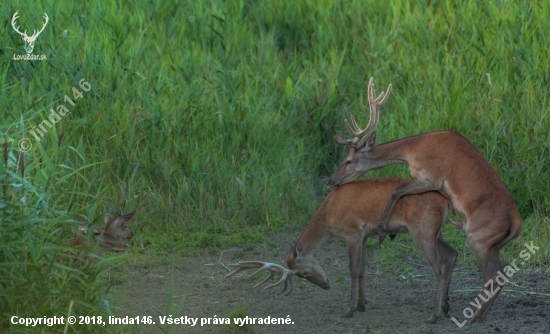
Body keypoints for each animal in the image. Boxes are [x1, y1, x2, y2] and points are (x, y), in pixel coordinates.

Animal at [226, 179, 460, 322]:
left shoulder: (352, 233)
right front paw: (362, 304)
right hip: (435, 232)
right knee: (452, 254)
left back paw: (434, 315)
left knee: (439, 266)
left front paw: (349, 309)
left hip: (422, 230)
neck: (328, 213)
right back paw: (446, 308)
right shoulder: (365, 236)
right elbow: (363, 269)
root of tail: (447, 202)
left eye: (304, 272)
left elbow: (353, 270)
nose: (326, 286)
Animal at [330, 77, 524, 320]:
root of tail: (517, 224)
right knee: (499, 274)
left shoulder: (430, 177)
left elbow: (397, 190)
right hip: (493, 245)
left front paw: (384, 232)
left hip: (478, 238)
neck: (413, 151)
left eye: (348, 161)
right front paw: (445, 302)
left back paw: (474, 317)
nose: (331, 180)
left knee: (493, 276)